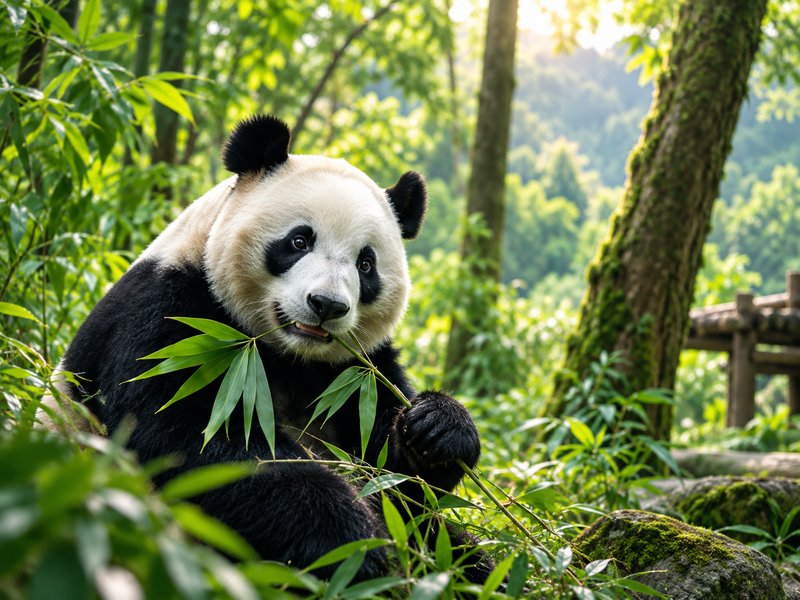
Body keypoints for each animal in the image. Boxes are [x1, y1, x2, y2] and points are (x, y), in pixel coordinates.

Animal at [56, 115, 489, 582]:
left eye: (366, 264)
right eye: (299, 241)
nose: (327, 305)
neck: (287, 354)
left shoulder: (357, 370)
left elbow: (397, 480)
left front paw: (438, 429)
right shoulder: (169, 317)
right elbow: (191, 438)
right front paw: (354, 543)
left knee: (460, 553)